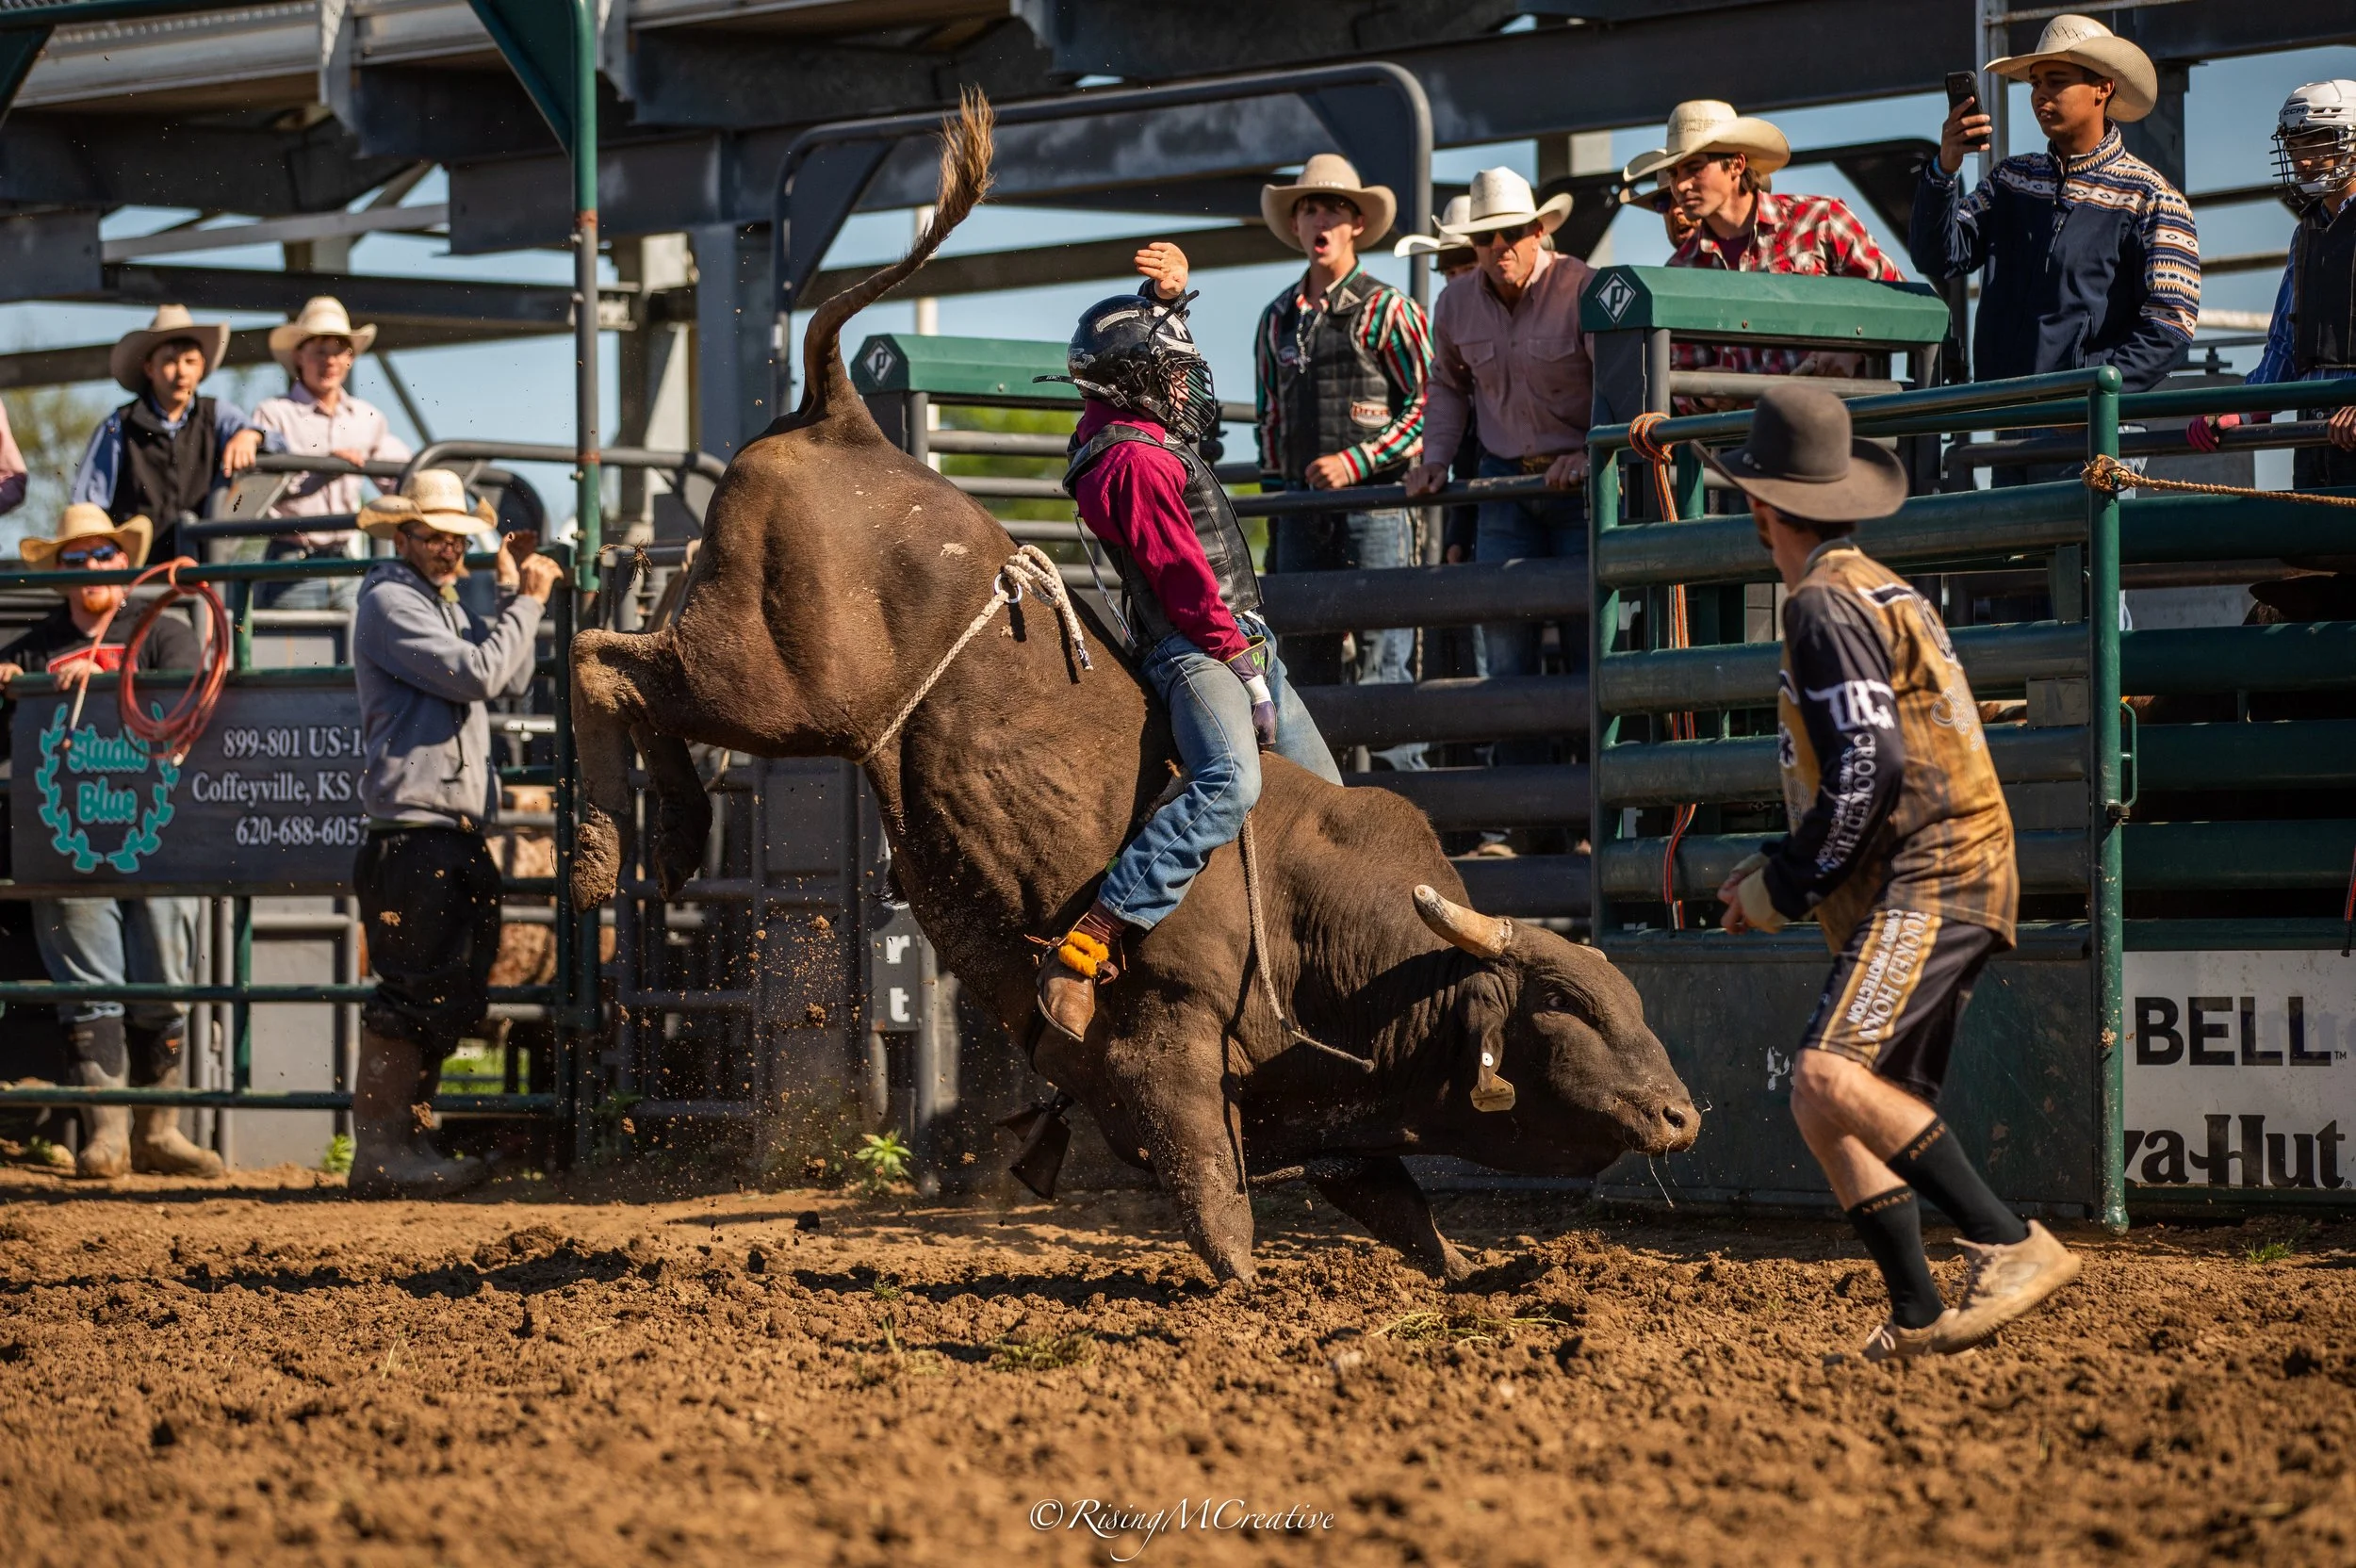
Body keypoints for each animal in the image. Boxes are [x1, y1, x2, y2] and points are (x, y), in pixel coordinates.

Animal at [566, 94, 1699, 1284]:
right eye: (1565, 1005)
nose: (1681, 1113)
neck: (1333, 932)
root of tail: (843, 416)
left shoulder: (1335, 1110)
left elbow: (1399, 1208)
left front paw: (1480, 1276)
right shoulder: (1168, 1038)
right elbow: (1213, 1191)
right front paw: (1243, 1288)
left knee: (631, 681)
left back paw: (671, 837)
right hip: (777, 681)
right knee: (602, 659)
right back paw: (607, 849)